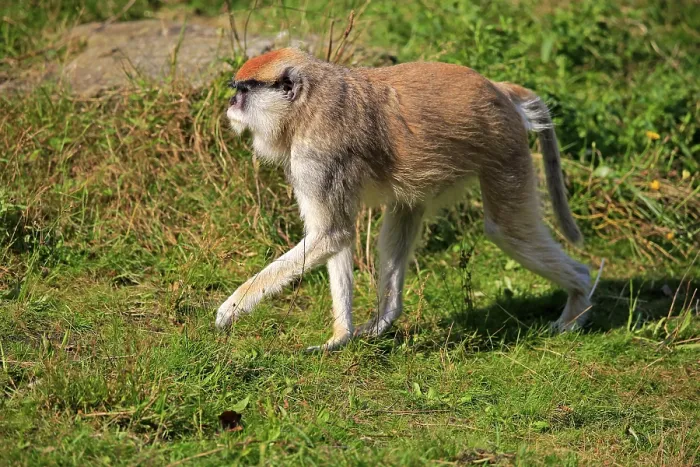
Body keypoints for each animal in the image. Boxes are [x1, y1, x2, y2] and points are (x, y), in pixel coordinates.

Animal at [215, 48, 591, 351]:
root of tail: (497, 88)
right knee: (405, 211)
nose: (231, 105)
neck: (309, 102)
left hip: (504, 147)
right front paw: (340, 336)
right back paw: (385, 318)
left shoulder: (317, 157)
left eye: (244, 90)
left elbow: (330, 235)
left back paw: (577, 303)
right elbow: (337, 237)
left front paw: (231, 307)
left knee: (508, 230)